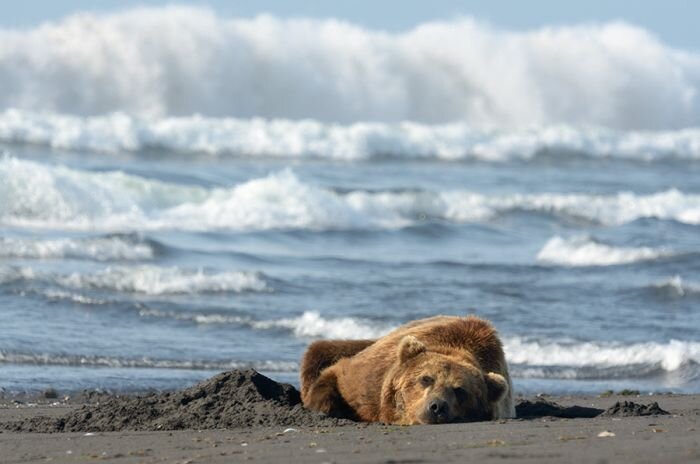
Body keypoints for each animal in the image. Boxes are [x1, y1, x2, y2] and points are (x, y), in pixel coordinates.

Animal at [300, 316, 516, 424]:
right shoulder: (368, 381)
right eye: (426, 379)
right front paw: (324, 408)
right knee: (319, 350)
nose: (437, 406)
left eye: (460, 390)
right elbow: (336, 374)